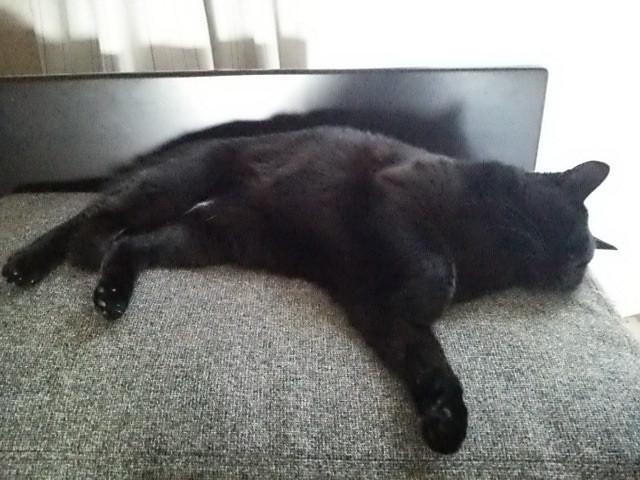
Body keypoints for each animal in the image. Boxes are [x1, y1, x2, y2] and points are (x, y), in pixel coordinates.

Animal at [2, 125, 613, 454]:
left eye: (582, 263)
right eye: (575, 241)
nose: (570, 272)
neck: (491, 251)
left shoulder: (377, 310)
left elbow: (428, 361)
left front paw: (446, 420)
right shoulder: (397, 198)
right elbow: (434, 266)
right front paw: (433, 293)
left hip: (202, 237)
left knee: (130, 245)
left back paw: (111, 293)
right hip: (171, 189)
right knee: (90, 218)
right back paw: (35, 262)